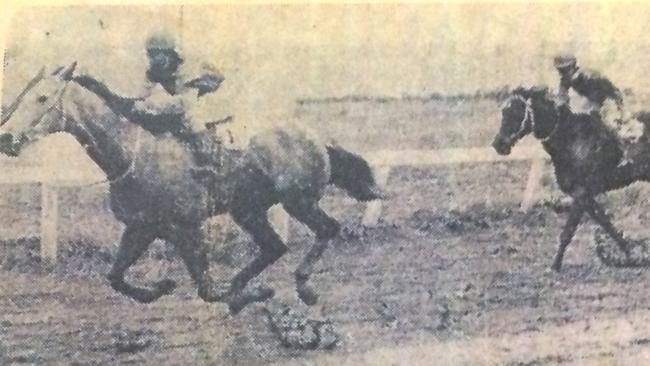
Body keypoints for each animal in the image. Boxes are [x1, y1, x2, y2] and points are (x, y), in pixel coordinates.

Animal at [0, 64, 382, 314]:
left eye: (42, 98)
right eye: (21, 96)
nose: (6, 138)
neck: (132, 152)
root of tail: (317, 138)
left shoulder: (186, 227)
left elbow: (207, 290)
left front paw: (246, 294)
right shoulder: (141, 227)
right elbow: (115, 276)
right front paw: (161, 288)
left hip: (297, 201)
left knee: (327, 228)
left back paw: (303, 286)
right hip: (249, 210)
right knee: (275, 246)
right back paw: (246, 283)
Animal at [492, 85, 648, 268]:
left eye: (516, 112)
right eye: (504, 111)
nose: (498, 144)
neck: (571, 138)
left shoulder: (581, 193)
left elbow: (568, 231)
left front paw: (555, 265)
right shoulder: (585, 196)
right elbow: (606, 223)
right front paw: (630, 254)